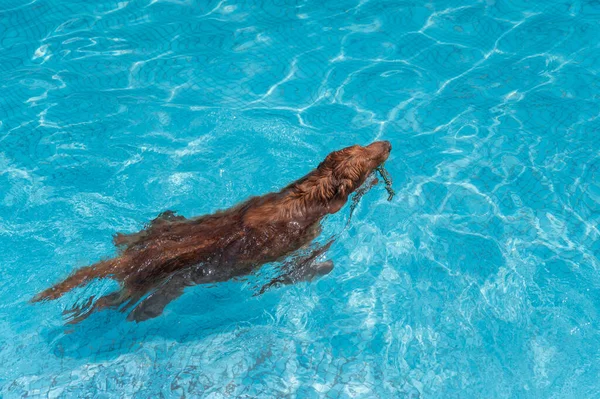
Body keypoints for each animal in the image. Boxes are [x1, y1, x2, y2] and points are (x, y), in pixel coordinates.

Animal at [32, 142, 392, 324]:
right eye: (370, 155)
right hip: (136, 287)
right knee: (111, 301)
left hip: (152, 235)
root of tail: (131, 259)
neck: (306, 195)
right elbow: (303, 265)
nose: (387, 142)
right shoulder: (300, 242)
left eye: (364, 145)